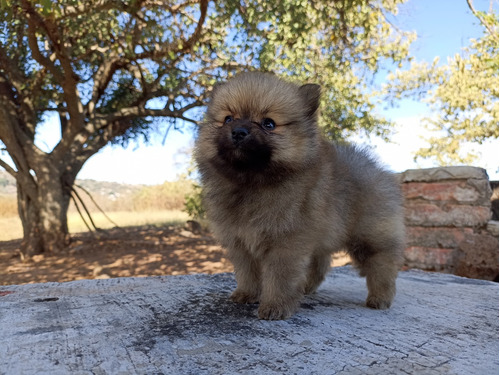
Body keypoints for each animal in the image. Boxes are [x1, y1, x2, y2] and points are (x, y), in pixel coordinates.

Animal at [193, 71, 404, 320]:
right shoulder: (240, 241)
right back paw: (306, 288)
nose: (238, 132)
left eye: (268, 123)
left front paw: (275, 306)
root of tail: (377, 169)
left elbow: (279, 277)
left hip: (368, 236)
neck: (251, 183)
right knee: (320, 265)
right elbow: (247, 272)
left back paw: (380, 297)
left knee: (382, 264)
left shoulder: (286, 241)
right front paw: (247, 293)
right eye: (228, 119)